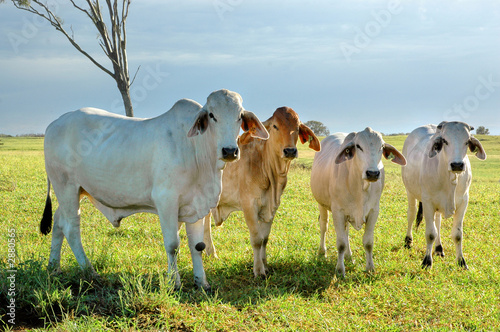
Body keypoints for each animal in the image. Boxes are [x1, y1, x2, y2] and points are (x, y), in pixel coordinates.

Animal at [40, 89, 270, 290]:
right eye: (212, 115)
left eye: (239, 116)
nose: (229, 151)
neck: (197, 152)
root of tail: (53, 124)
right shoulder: (166, 201)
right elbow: (172, 245)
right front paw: (174, 282)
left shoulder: (197, 205)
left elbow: (198, 246)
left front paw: (201, 282)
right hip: (66, 187)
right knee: (71, 228)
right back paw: (89, 271)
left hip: (75, 191)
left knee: (59, 223)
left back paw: (53, 267)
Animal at [203, 107, 320, 278]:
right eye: (275, 126)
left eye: (298, 128)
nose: (290, 151)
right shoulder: (249, 207)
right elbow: (257, 239)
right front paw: (258, 270)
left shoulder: (271, 208)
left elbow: (265, 238)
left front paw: (265, 265)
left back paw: (211, 253)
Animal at [310, 128, 408, 276]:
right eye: (358, 146)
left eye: (381, 147)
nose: (373, 173)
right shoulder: (338, 212)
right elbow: (340, 243)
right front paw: (340, 270)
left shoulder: (374, 211)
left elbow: (368, 242)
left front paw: (370, 268)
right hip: (321, 204)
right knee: (324, 226)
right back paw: (322, 252)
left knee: (346, 232)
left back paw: (349, 256)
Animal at [400, 120, 486, 268]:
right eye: (445, 141)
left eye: (467, 141)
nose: (457, 165)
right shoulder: (428, 202)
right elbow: (430, 233)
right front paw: (427, 261)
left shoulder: (463, 203)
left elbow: (457, 234)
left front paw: (461, 261)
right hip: (410, 191)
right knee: (411, 213)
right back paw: (408, 241)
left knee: (438, 222)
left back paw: (439, 248)